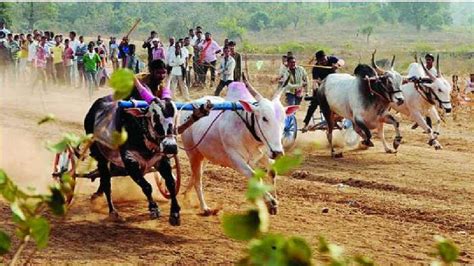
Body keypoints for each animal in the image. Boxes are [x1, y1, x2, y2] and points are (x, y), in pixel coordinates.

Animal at [180, 81, 298, 216]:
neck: (247, 130)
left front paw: (274, 203)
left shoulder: (263, 154)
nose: (278, 152)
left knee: (195, 176)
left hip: (203, 155)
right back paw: (204, 207)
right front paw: (270, 202)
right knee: (198, 180)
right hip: (192, 153)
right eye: (264, 118)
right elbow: (254, 176)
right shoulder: (236, 160)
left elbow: (272, 172)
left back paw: (186, 196)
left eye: (284, 119)